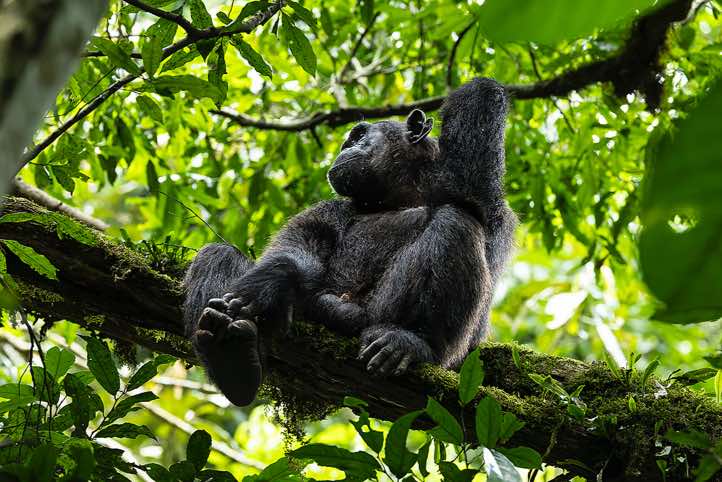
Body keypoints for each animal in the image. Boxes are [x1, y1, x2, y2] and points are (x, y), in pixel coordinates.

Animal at [183, 78, 518, 406]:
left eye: (359, 136)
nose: (345, 148)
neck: (400, 195)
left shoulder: (496, 211)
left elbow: (471, 198)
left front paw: (480, 90)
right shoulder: (329, 208)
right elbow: (302, 244)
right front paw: (271, 280)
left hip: (377, 313)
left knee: (456, 221)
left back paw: (413, 341)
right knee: (219, 254)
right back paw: (229, 352)